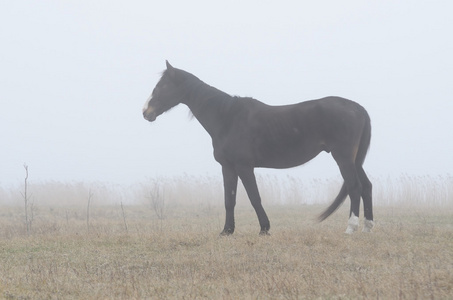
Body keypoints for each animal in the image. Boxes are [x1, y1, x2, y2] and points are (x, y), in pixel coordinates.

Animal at [142, 60, 374, 234]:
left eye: (162, 86)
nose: (146, 112)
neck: (227, 118)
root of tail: (358, 108)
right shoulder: (228, 167)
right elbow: (229, 199)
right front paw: (227, 230)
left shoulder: (244, 167)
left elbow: (254, 197)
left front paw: (264, 228)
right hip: (355, 160)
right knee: (366, 186)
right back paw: (368, 227)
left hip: (343, 158)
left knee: (354, 187)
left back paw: (351, 228)